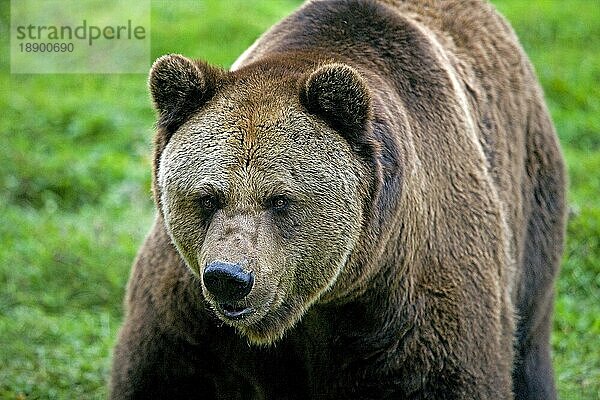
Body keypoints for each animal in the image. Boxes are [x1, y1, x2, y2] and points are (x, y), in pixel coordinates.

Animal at [110, 0, 564, 396]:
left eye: (280, 199)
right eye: (207, 197)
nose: (230, 278)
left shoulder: (417, 289)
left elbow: (450, 374)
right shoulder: (187, 311)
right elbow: (162, 372)